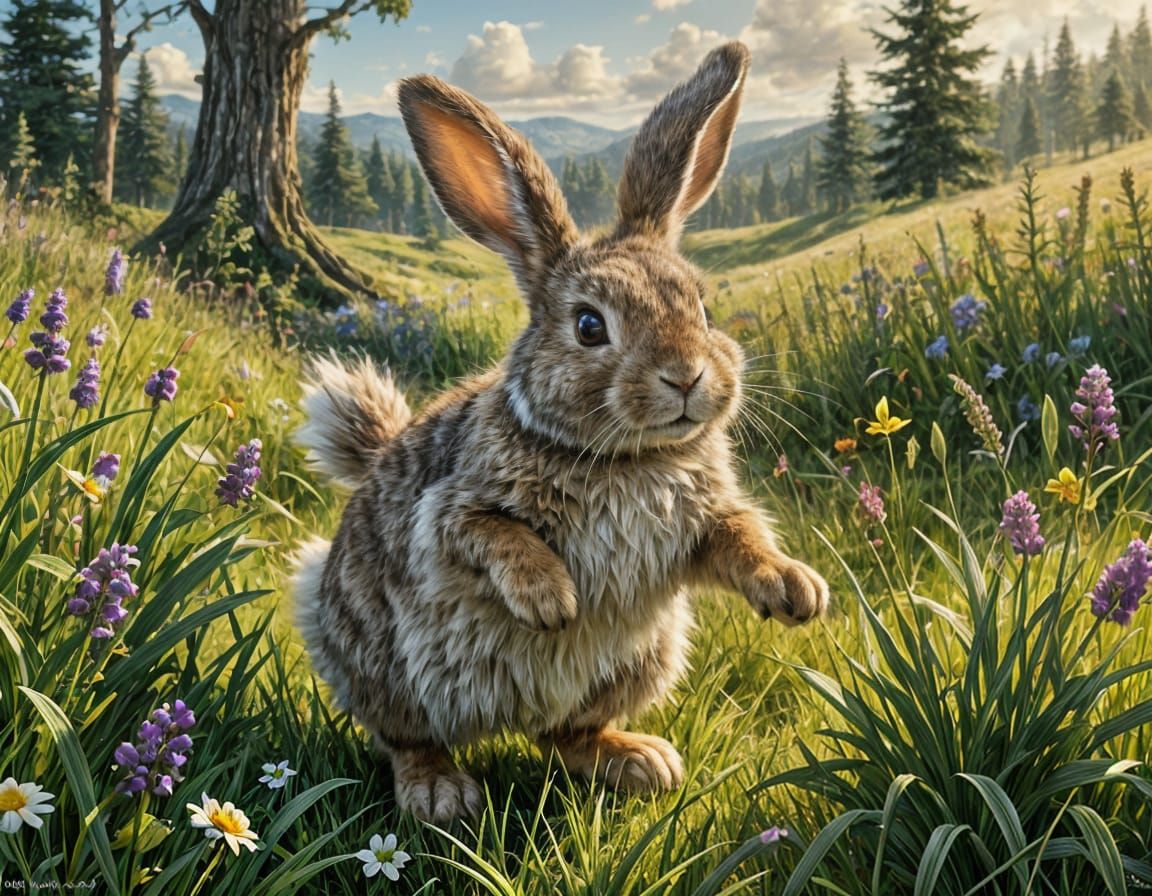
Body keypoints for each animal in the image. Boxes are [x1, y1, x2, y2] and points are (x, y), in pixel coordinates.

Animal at [292, 40, 829, 825]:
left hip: (642, 659)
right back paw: (440, 793)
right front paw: (553, 601)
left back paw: (641, 761)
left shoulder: (700, 524)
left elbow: (740, 540)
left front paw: (797, 590)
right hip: (388, 667)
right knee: (405, 737)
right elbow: (493, 534)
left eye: (701, 305)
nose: (687, 377)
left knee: (566, 734)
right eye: (588, 326)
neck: (626, 458)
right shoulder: (452, 514)